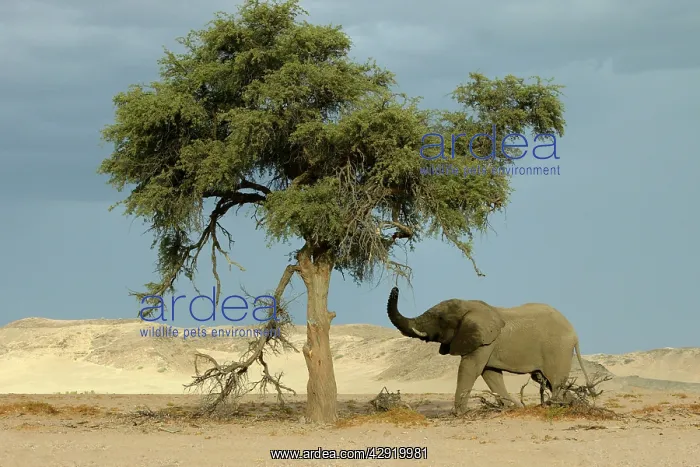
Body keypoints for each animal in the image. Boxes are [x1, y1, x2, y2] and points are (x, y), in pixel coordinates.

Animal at [386, 287, 592, 414]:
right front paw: (511, 408)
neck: (470, 305)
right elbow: (490, 374)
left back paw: (558, 406)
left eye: (440, 318)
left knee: (555, 382)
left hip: (558, 349)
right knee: (547, 381)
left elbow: (470, 369)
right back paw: (568, 404)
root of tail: (575, 333)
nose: (396, 288)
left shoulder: (485, 341)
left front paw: (459, 413)